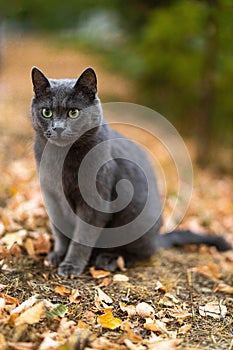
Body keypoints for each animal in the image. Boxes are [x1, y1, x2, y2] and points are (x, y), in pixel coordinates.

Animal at [30, 66, 231, 276]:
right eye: (46, 112)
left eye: (73, 112)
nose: (58, 128)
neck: (59, 158)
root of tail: (157, 237)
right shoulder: (52, 198)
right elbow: (60, 232)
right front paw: (57, 255)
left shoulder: (95, 202)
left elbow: (82, 237)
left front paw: (71, 265)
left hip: (137, 218)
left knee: (144, 252)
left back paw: (109, 259)